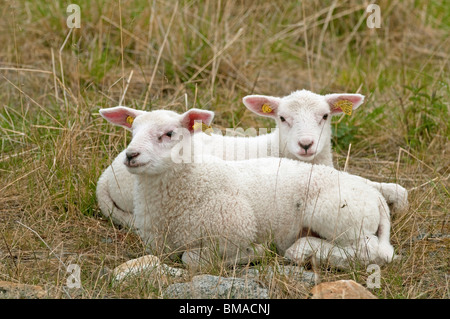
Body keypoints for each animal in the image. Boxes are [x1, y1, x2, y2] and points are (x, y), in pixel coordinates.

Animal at [97, 90, 408, 230]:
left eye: (325, 116)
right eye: (282, 118)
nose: (306, 144)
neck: (274, 147)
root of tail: (103, 178)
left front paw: (395, 196)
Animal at [98, 107, 394, 270]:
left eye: (169, 134)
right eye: (132, 131)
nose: (131, 155)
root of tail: (376, 197)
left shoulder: (235, 230)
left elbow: (191, 259)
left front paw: (254, 254)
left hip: (337, 215)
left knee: (373, 251)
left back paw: (304, 250)